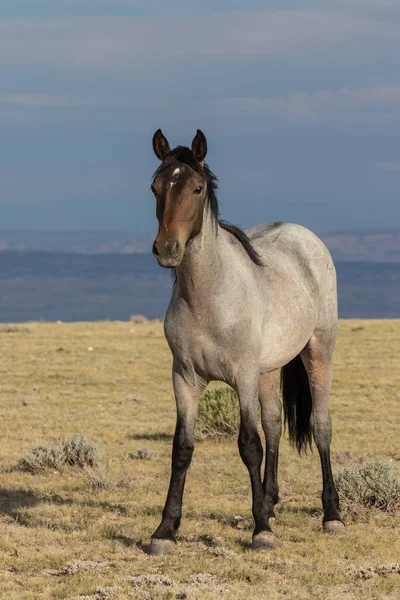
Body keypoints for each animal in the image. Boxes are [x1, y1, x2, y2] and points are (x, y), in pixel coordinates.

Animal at [147, 129, 344, 556]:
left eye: (197, 188)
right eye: (155, 187)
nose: (167, 249)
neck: (209, 297)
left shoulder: (243, 376)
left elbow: (249, 445)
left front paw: (261, 531)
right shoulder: (184, 378)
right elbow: (182, 448)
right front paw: (165, 530)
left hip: (317, 352)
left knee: (320, 426)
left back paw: (332, 515)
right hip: (268, 370)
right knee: (274, 425)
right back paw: (269, 501)